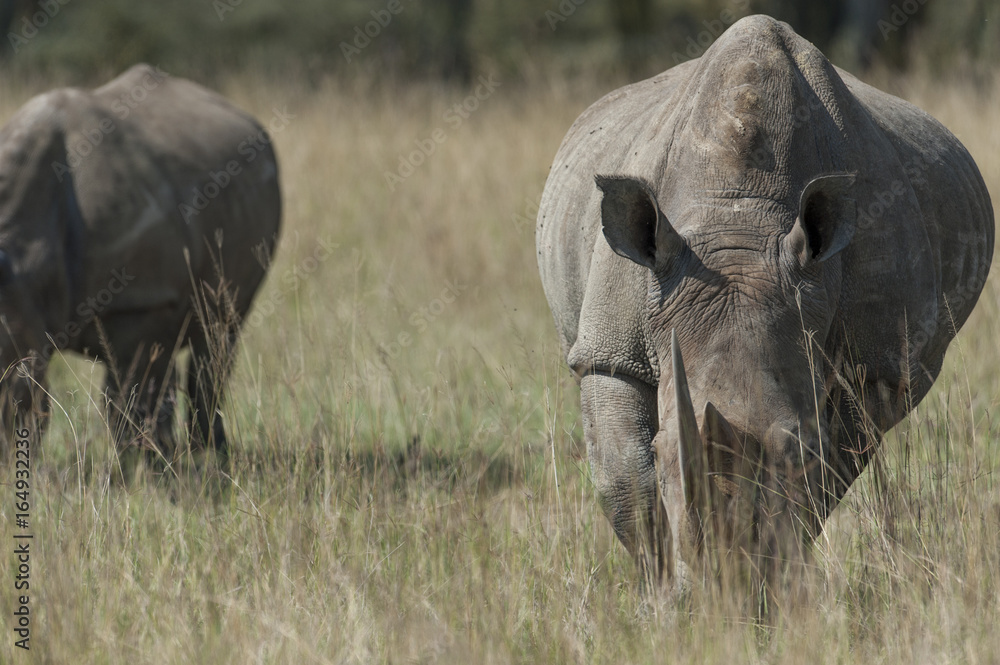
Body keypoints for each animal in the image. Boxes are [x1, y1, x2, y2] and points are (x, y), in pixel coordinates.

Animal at [0, 64, 281, 463]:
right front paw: (151, 462)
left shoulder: (141, 299)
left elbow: (126, 398)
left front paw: (142, 468)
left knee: (217, 338)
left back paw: (208, 456)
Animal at [536, 16, 994, 591]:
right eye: (662, 450)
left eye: (799, 446)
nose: (718, 586)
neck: (738, 217)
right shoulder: (611, 348)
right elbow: (626, 487)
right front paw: (661, 594)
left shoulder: (876, 367)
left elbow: (824, 478)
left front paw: (769, 587)